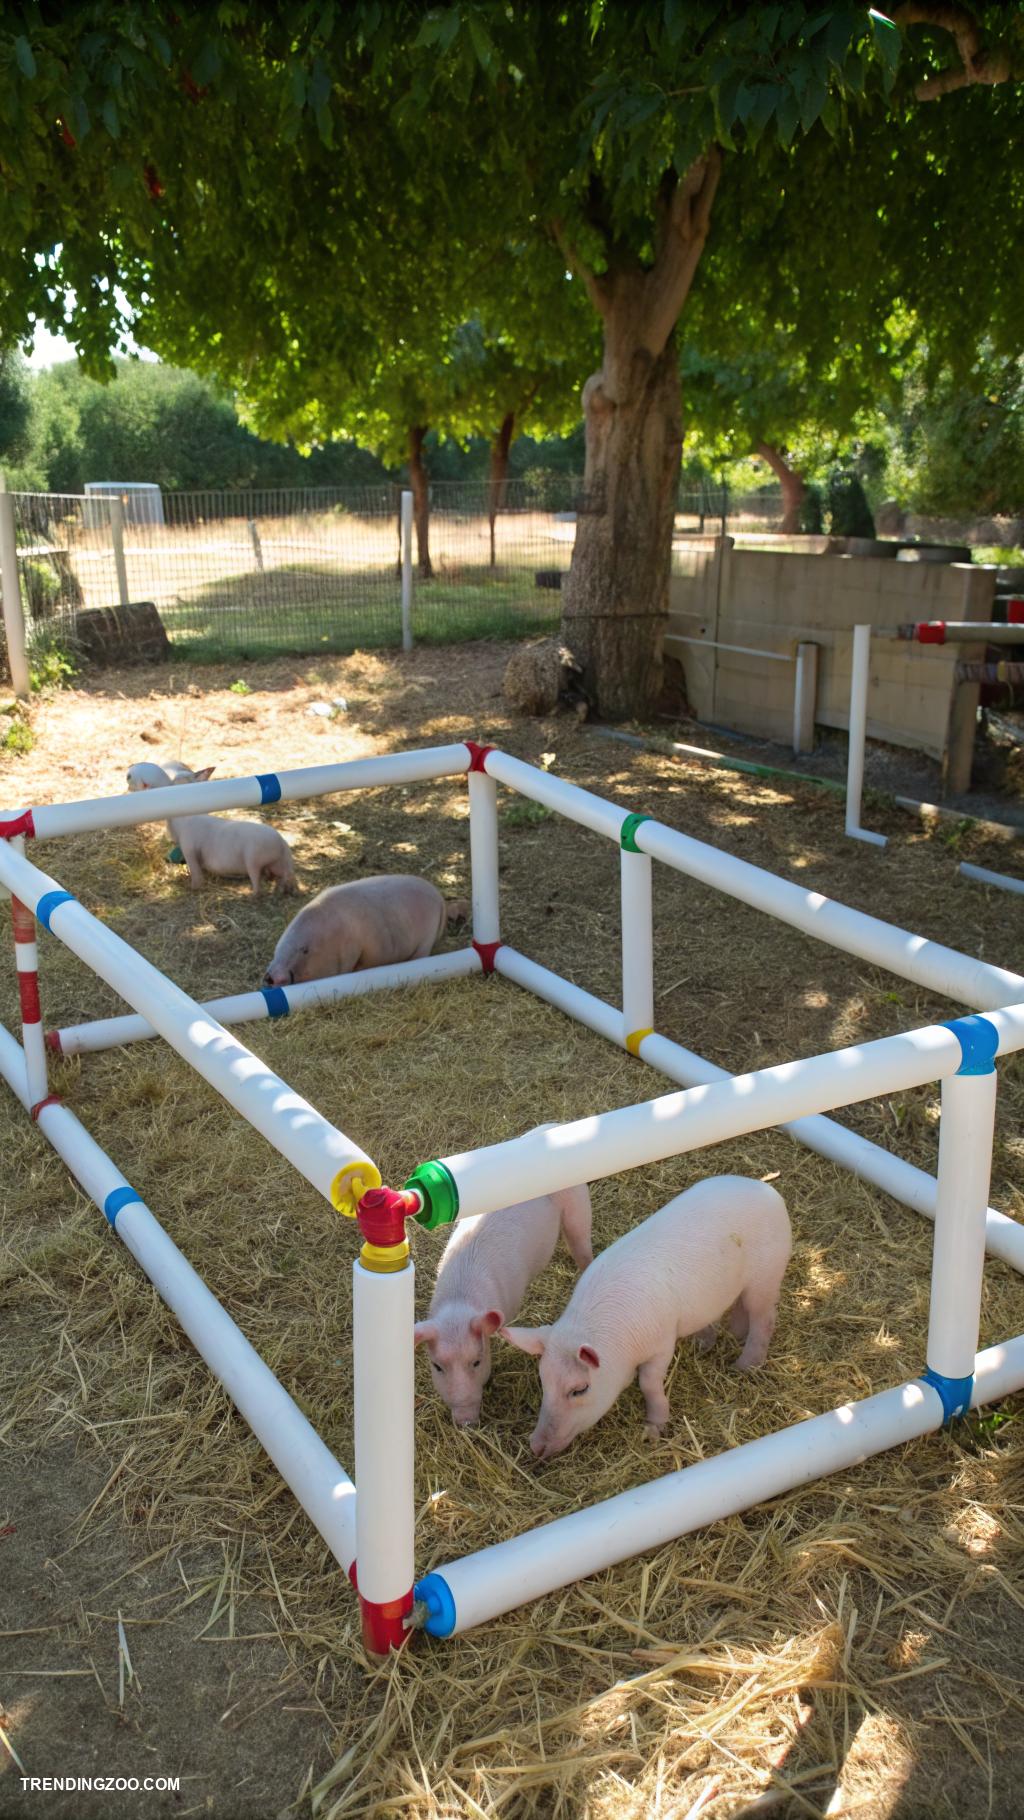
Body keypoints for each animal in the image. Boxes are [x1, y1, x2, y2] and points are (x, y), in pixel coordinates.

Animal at [126, 761, 297, 895]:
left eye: (133, 777)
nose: (128, 770)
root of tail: (282, 845)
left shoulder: (189, 848)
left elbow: (196, 874)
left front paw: (193, 888)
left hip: (253, 860)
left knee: (257, 883)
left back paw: (253, 896)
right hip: (280, 866)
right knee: (284, 879)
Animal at [264, 875, 469, 985]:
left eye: (304, 950)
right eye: (277, 946)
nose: (272, 976)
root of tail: (440, 898)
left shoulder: (350, 952)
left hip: (426, 938)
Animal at [502, 1175, 792, 1459]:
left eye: (579, 1389)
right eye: (543, 1381)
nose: (535, 1446)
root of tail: (768, 1191)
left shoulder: (662, 1342)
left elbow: (648, 1383)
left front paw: (652, 1432)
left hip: (767, 1276)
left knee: (765, 1317)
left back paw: (743, 1366)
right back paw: (721, 1339)